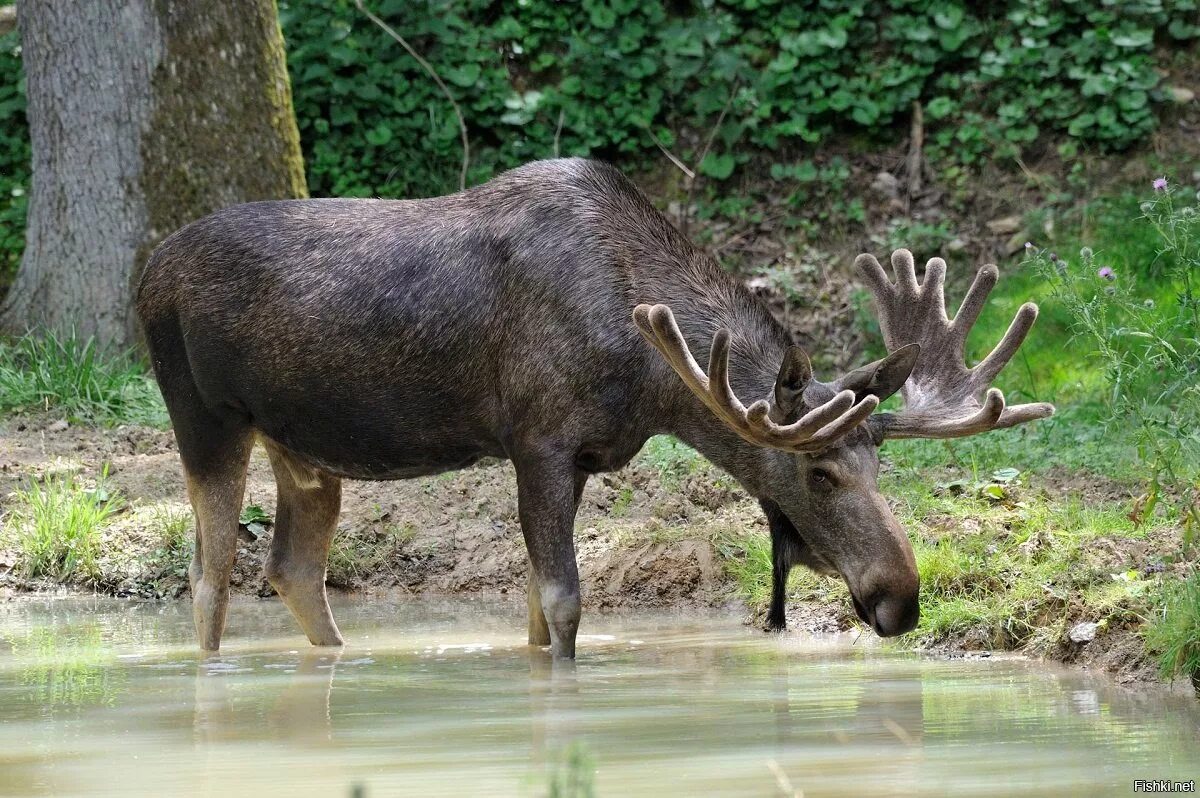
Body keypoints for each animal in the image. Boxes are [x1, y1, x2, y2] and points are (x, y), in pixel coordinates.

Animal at [138, 158, 1051, 657]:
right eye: (820, 472)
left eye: (879, 461)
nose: (902, 597)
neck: (649, 374)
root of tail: (145, 278)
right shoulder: (536, 438)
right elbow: (563, 603)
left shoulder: (579, 456)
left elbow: (536, 614)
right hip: (205, 417)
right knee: (209, 577)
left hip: (305, 447)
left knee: (292, 568)